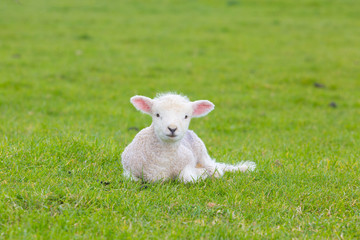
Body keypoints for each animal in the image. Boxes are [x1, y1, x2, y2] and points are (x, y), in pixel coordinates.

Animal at [121, 93, 256, 183]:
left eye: (186, 116)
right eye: (157, 115)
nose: (172, 128)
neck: (164, 160)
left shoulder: (188, 163)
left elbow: (186, 178)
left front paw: (202, 174)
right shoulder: (129, 170)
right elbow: (133, 179)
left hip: (202, 153)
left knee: (216, 168)